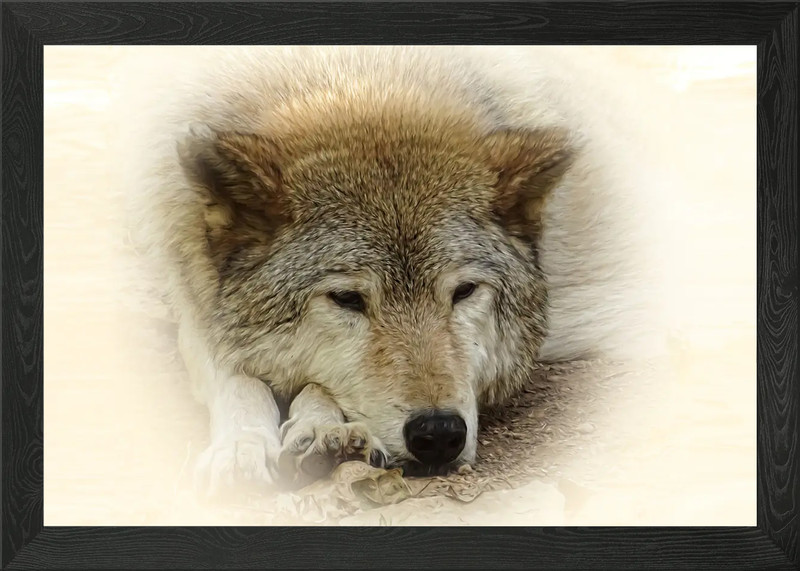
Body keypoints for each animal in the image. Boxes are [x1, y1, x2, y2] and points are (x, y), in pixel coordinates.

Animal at [121, 46, 669, 492]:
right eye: (347, 299)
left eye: (464, 291)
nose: (439, 434)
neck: (352, 72)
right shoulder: (187, 289)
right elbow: (234, 376)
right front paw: (243, 446)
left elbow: (314, 384)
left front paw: (321, 428)